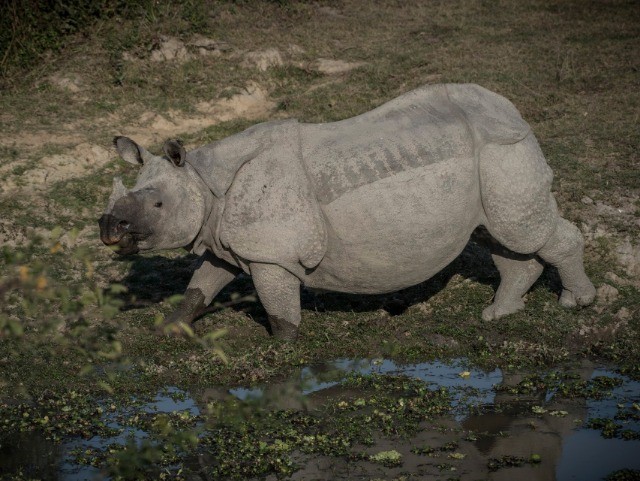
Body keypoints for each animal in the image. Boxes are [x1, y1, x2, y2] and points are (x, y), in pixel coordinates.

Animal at [99, 83, 596, 340]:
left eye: (157, 204)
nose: (107, 226)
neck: (203, 179)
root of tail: (514, 110)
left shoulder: (271, 250)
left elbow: (277, 303)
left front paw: (282, 346)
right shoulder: (224, 238)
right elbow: (201, 286)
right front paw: (169, 329)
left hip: (503, 147)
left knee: (524, 231)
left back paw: (577, 303)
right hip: (488, 156)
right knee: (499, 236)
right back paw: (499, 314)